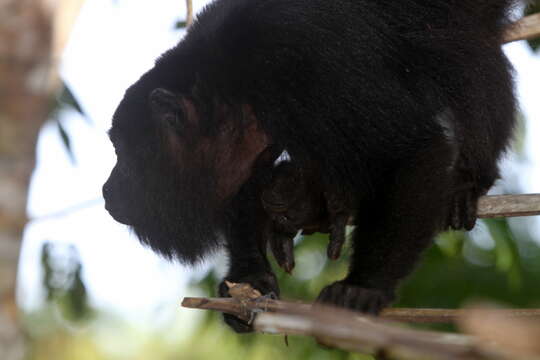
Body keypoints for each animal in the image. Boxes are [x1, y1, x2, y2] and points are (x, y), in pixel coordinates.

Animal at [103, 0, 516, 332]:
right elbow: (244, 187)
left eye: (122, 150)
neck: (230, 85)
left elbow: (416, 149)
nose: (108, 190)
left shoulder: (304, 65)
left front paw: (363, 287)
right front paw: (249, 281)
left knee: (469, 51)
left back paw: (468, 180)